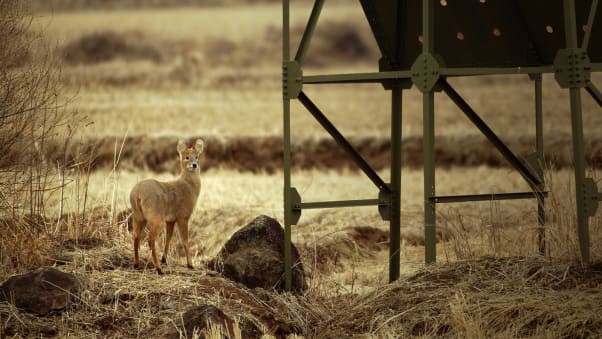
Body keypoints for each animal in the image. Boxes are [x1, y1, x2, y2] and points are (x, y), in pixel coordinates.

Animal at [127, 139, 203, 274]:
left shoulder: (170, 219)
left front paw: (164, 259)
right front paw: (190, 264)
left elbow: (168, 237)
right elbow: (185, 240)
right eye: (187, 157)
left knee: (136, 235)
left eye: (197, 157)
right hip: (156, 217)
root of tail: (137, 193)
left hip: (139, 215)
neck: (189, 187)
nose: (194, 165)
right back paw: (159, 269)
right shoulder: (183, 216)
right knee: (150, 238)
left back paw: (137, 264)